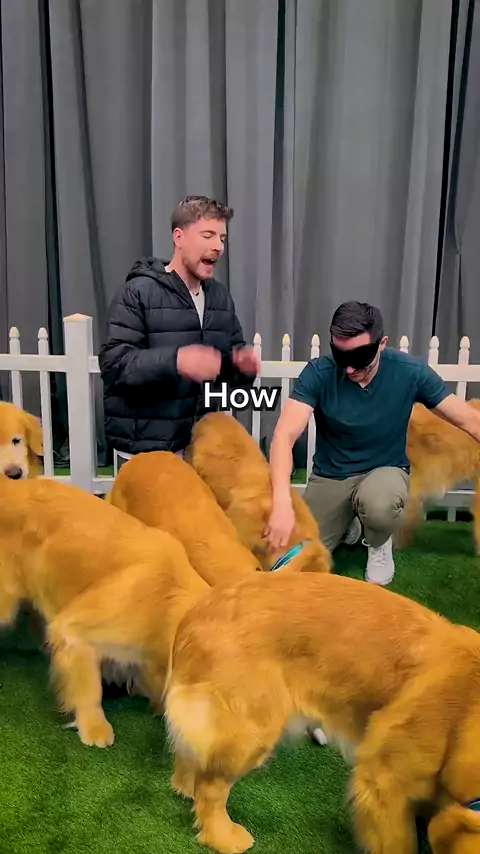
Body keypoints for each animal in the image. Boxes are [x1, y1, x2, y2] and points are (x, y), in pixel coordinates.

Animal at [164, 571, 480, 854]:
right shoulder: (384, 779)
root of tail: (196, 611)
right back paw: (222, 836)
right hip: (249, 731)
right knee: (211, 788)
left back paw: (186, 787)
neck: (466, 712)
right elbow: (399, 842)